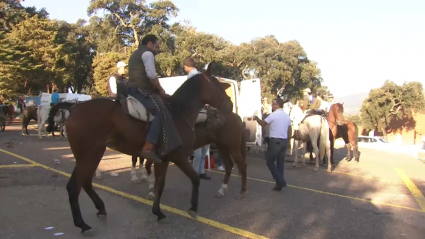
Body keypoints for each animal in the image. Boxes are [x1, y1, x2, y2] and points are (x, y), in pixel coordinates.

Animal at [46, 63, 232, 233]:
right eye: (216, 84)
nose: (229, 105)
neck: (179, 113)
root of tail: (74, 107)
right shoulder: (179, 157)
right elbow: (194, 178)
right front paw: (193, 208)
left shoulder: (163, 160)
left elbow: (159, 185)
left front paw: (158, 212)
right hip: (90, 154)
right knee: (74, 186)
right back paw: (82, 224)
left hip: (91, 154)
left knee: (85, 182)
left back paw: (100, 208)